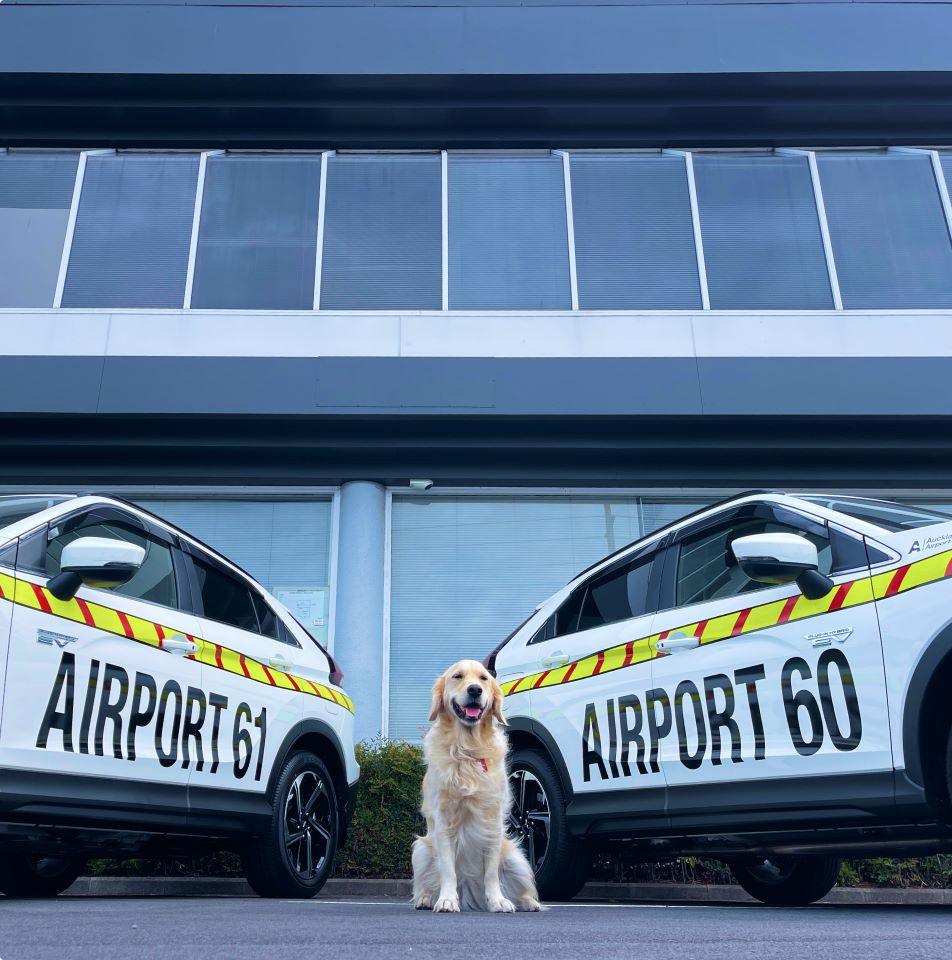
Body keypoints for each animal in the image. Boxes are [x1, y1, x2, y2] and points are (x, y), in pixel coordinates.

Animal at [410, 660, 540, 916]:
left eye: (483, 678)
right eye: (457, 676)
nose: (474, 690)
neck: (468, 750)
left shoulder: (492, 821)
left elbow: (491, 872)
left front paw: (498, 901)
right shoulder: (444, 821)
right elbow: (448, 869)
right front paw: (447, 900)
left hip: (516, 859)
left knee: (520, 886)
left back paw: (528, 902)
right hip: (421, 850)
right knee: (425, 883)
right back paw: (426, 899)